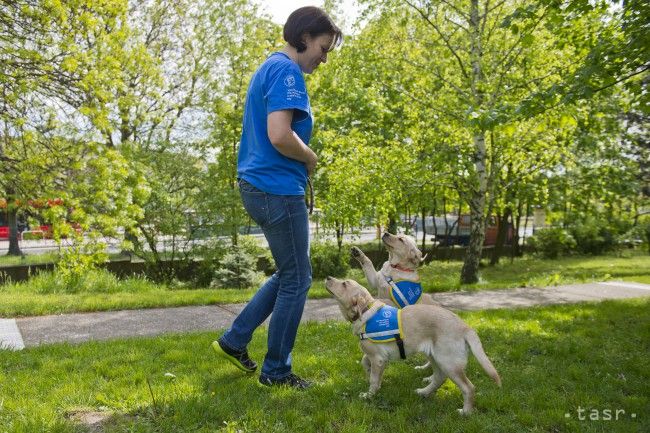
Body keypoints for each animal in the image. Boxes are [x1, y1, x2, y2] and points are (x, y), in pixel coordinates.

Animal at [324, 276, 502, 416]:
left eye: (344, 284)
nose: (327, 277)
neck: (366, 312)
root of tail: (465, 326)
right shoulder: (377, 357)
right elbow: (365, 363)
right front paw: (370, 376)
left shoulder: (378, 358)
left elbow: (374, 379)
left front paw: (369, 395)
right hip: (436, 357)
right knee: (439, 377)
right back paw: (424, 392)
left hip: (448, 362)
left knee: (468, 387)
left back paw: (465, 412)